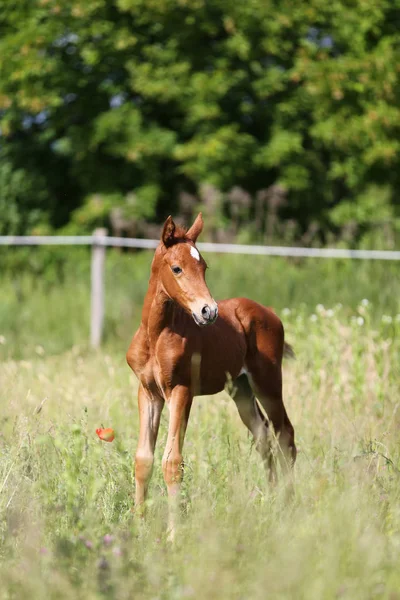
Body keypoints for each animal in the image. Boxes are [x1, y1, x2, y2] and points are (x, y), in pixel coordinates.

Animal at [126, 214, 296, 536]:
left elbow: (172, 462)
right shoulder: (148, 393)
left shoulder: (181, 390)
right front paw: (138, 529)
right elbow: (143, 460)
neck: (156, 335)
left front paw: (173, 536)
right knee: (263, 436)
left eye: (204, 267)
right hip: (241, 389)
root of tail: (269, 312)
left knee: (285, 435)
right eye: (177, 268)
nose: (209, 311)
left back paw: (289, 504)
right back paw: (271, 502)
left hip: (268, 383)